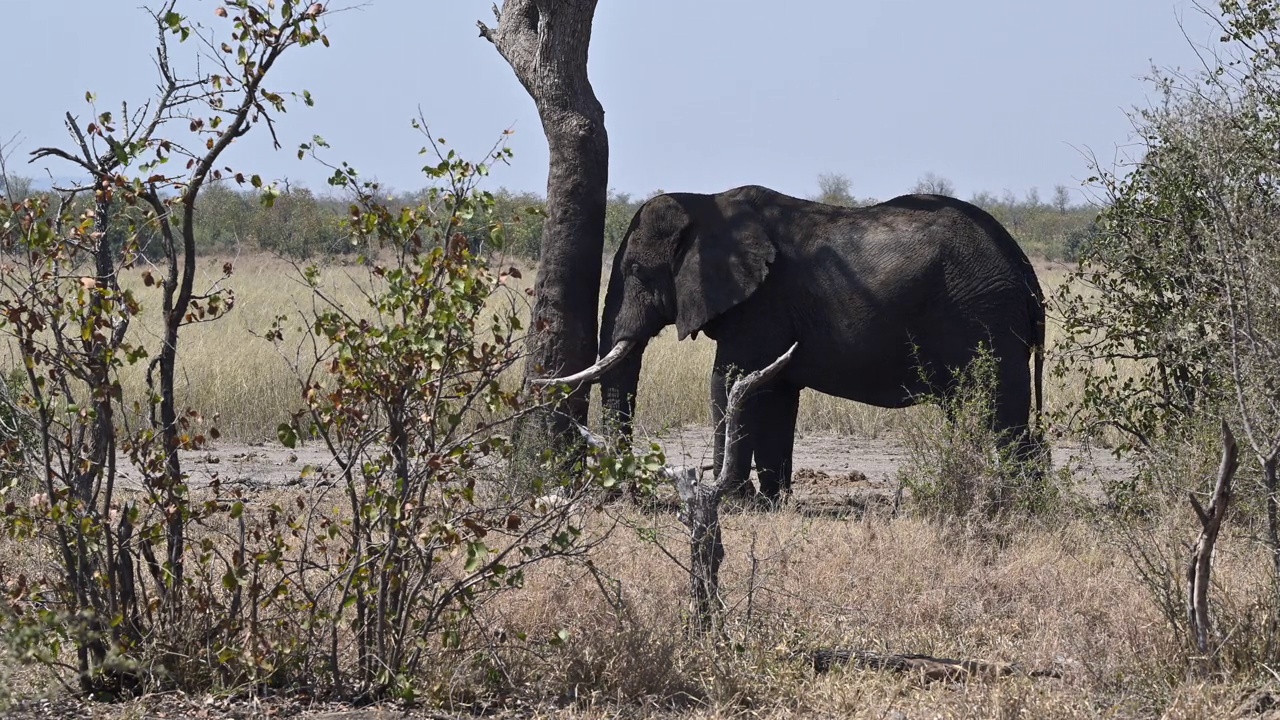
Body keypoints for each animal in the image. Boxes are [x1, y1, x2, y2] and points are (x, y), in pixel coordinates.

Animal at [545, 183, 1044, 499]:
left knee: (1003, 413)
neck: (704, 202)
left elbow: (728, 380)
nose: (624, 494)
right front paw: (772, 502)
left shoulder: (761, 303)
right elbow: (775, 392)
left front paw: (733, 500)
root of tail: (1024, 268)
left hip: (985, 314)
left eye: (635, 272)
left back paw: (1020, 505)